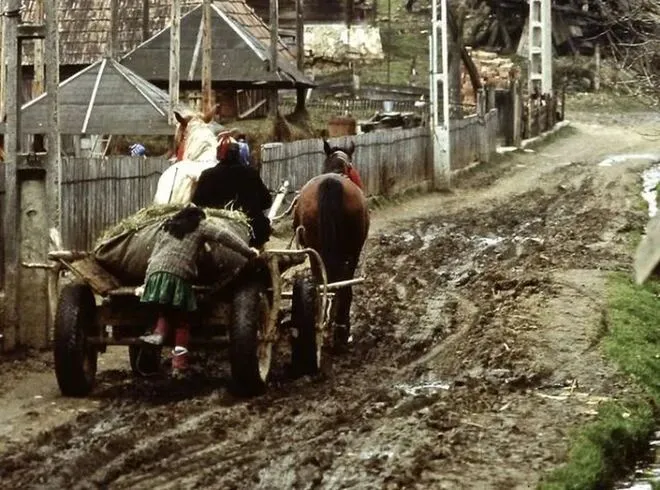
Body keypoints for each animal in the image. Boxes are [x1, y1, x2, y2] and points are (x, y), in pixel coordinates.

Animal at [293, 140, 370, 348]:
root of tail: (330, 182)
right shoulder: (353, 252)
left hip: (315, 251)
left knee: (323, 284)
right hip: (348, 250)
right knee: (341, 285)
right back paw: (340, 329)